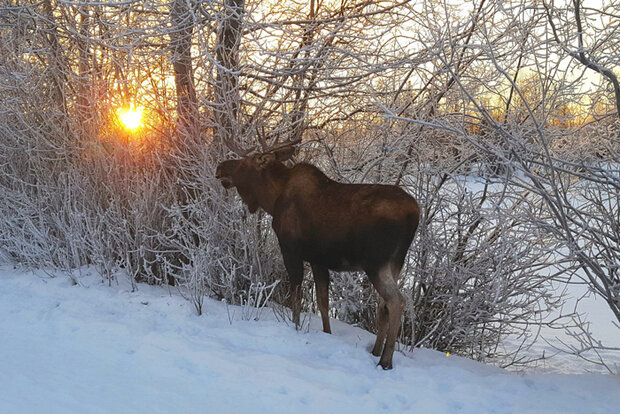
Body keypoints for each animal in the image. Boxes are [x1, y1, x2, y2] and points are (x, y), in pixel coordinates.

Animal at [216, 142, 418, 368]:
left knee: (396, 301)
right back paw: (375, 351)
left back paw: (385, 361)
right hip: (396, 263)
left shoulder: (290, 249)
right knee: (383, 305)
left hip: (376, 263)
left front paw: (295, 327)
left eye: (245, 162)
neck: (272, 199)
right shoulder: (318, 260)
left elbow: (296, 296)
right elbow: (323, 302)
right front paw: (327, 333)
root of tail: (414, 214)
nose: (220, 167)